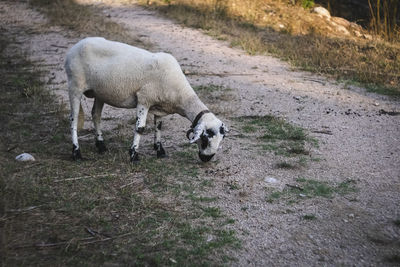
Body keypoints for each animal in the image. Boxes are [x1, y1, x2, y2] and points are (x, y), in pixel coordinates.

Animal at [65, 37, 228, 163]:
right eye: (205, 139)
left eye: (221, 140)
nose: (206, 159)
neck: (180, 94)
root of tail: (75, 46)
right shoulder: (144, 100)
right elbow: (140, 128)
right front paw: (133, 155)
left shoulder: (160, 106)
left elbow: (159, 126)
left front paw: (160, 151)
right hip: (75, 85)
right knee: (73, 120)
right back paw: (76, 152)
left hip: (100, 92)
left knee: (96, 115)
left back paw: (101, 146)